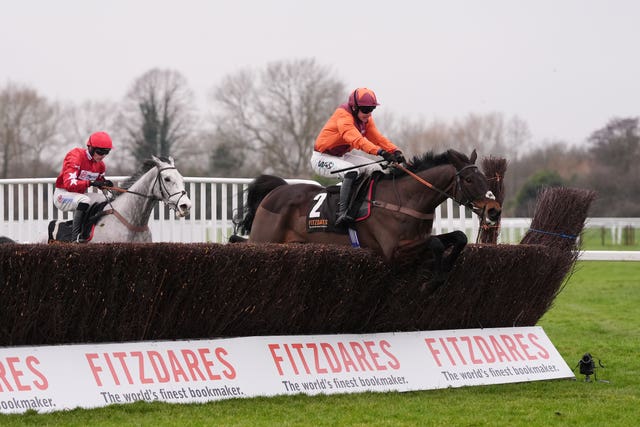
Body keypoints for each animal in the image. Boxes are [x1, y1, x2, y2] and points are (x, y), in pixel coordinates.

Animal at [230, 149, 500, 272]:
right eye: (468, 180)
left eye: (484, 177)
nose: (494, 210)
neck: (405, 198)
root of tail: (276, 191)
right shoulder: (393, 250)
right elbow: (435, 244)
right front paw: (435, 277)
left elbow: (460, 237)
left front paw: (443, 270)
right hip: (265, 239)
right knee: (237, 241)